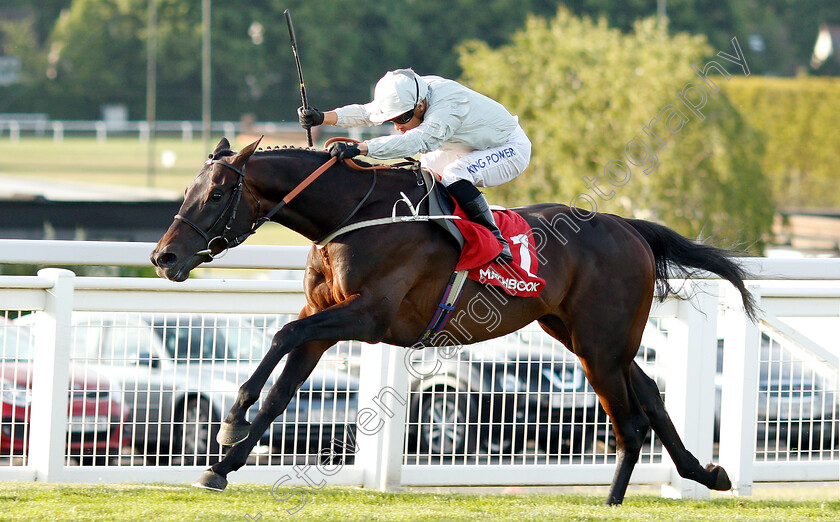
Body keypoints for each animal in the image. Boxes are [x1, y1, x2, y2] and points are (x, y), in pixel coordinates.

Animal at [148, 136, 756, 502]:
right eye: (189, 190)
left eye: (218, 194)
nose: (163, 257)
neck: (354, 216)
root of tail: (629, 226)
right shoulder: (324, 316)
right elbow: (281, 388)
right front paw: (223, 462)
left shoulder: (367, 318)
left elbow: (281, 335)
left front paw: (231, 422)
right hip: (583, 335)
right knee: (649, 394)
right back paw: (706, 472)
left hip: (599, 343)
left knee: (630, 420)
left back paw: (616, 497)